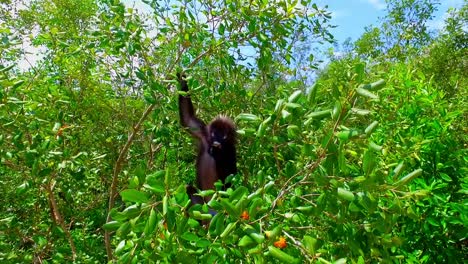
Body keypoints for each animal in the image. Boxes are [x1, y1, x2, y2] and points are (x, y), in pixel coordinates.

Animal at [179, 72, 238, 204]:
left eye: (224, 136)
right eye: (214, 133)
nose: (216, 141)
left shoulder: (231, 150)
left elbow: (230, 178)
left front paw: (217, 152)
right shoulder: (204, 133)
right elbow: (187, 119)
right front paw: (183, 81)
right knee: (189, 189)